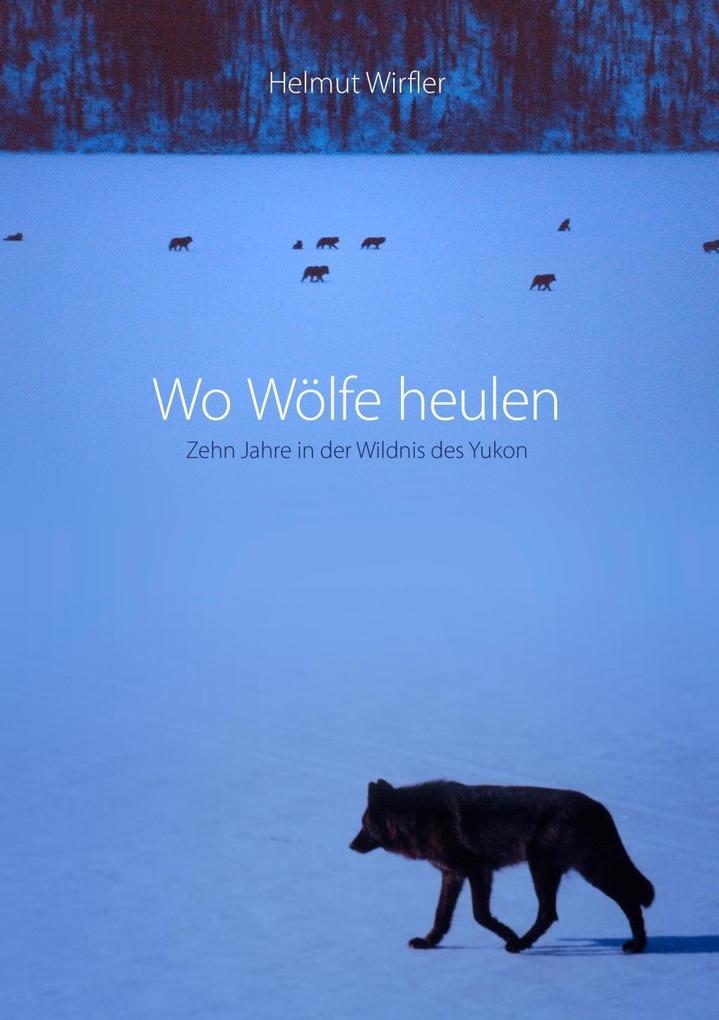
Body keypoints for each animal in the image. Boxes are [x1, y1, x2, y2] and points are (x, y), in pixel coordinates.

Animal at [350, 779, 654, 954]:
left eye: (364, 825)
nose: (351, 845)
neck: (416, 817)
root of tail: (599, 807)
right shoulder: (452, 874)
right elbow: (441, 916)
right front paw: (429, 943)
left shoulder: (478, 870)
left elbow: (480, 915)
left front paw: (508, 933)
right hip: (561, 871)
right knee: (553, 913)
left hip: (568, 870)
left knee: (618, 901)